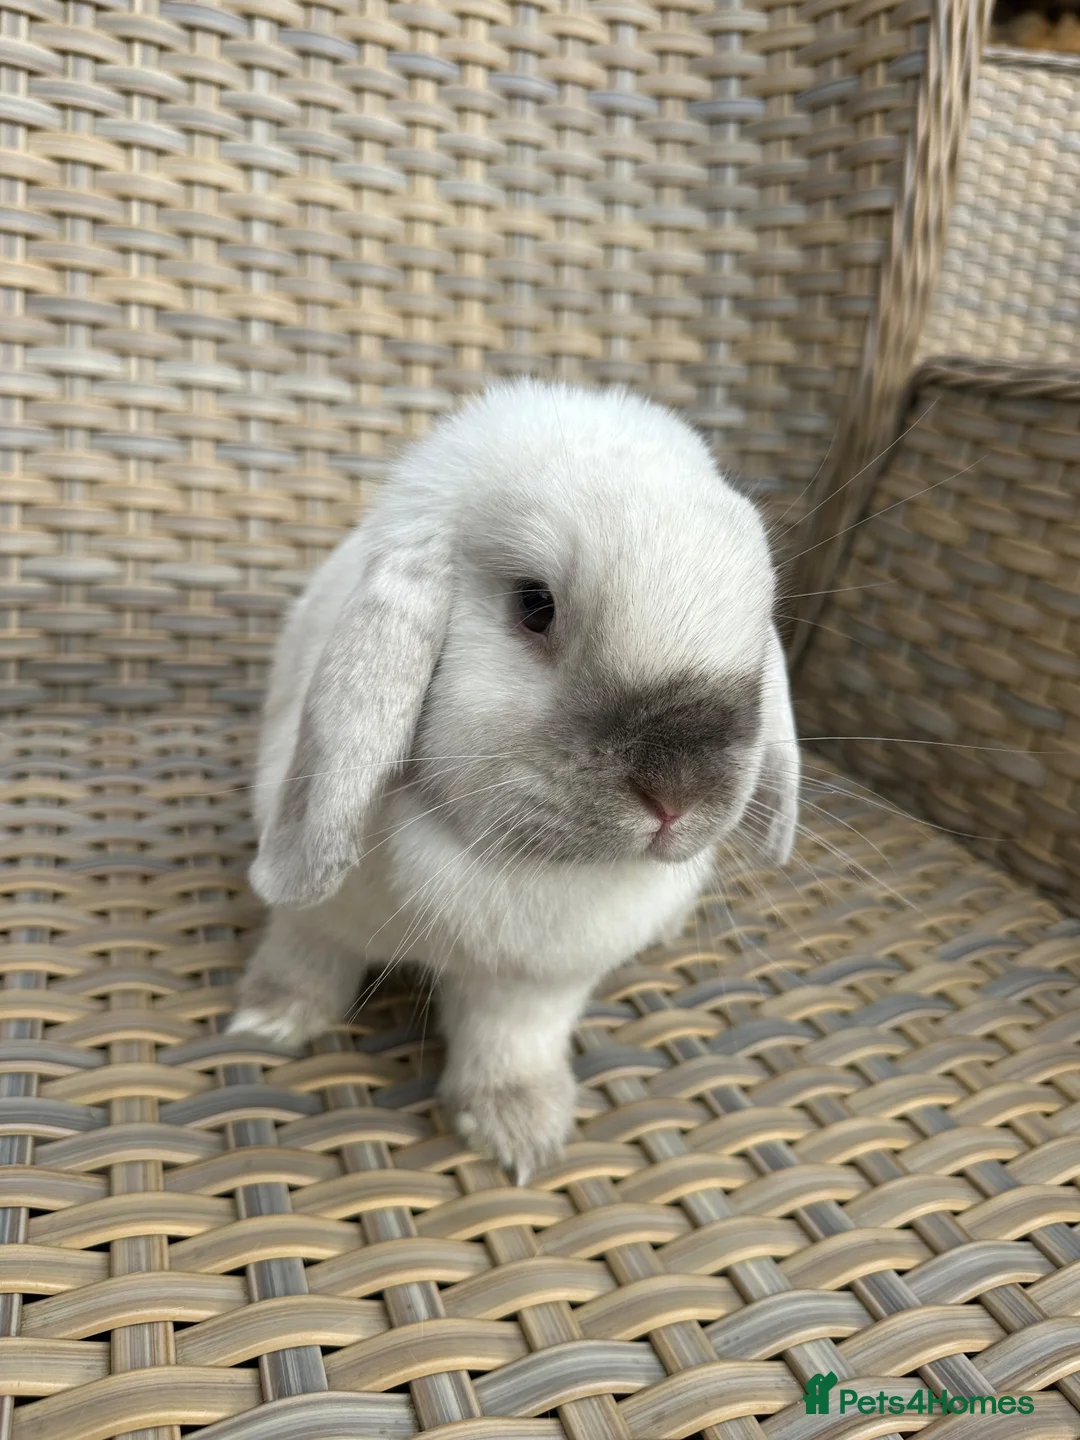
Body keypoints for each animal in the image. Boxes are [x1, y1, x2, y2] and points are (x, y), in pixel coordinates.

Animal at [230, 379, 800, 1182]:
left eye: (758, 628)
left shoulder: (537, 986)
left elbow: (510, 1044)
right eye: (535, 604)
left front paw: (516, 1133)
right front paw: (269, 1019)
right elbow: (303, 957)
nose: (675, 798)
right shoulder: (315, 921)